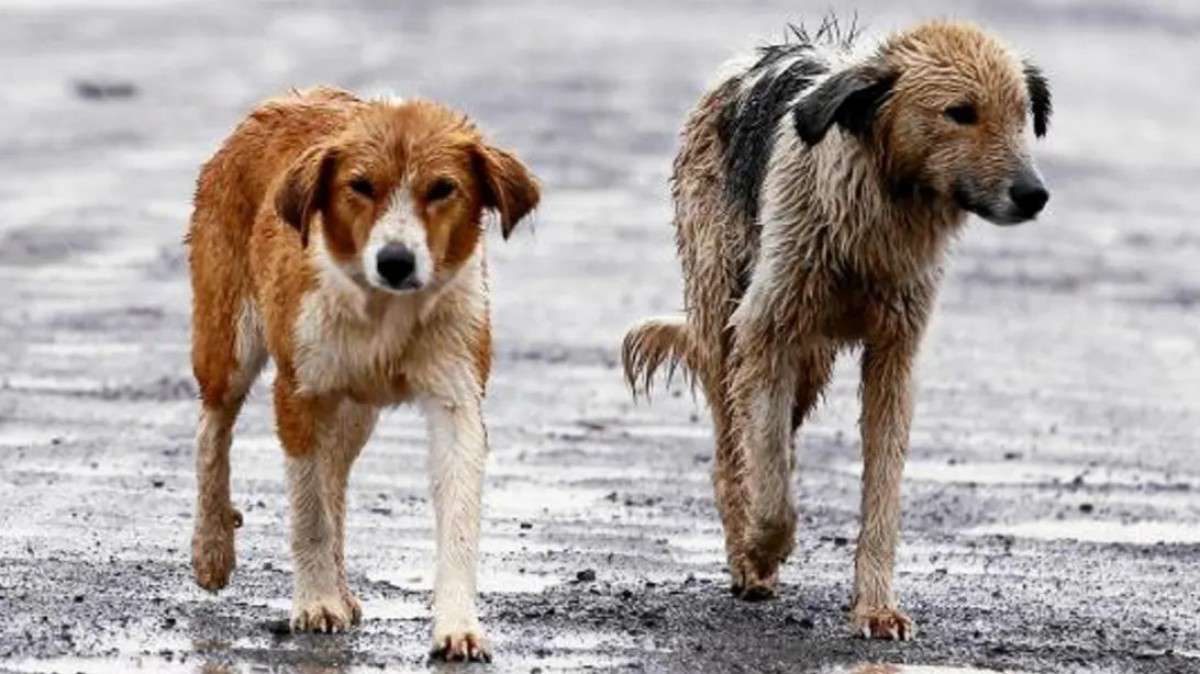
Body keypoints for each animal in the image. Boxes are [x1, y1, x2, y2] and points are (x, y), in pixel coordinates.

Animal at [188, 86, 540, 657]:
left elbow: (457, 518)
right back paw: (212, 547)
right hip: (229, 344)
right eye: (360, 186)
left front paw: (458, 626)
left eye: (443, 189)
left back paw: (341, 587)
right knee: (212, 431)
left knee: (334, 478)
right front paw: (315, 603)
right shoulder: (300, 392)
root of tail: (279, 101)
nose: (395, 261)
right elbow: (308, 512)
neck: (384, 312)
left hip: (355, 410)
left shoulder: (457, 397)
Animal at [624, 20, 1056, 638]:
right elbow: (771, 488)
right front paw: (761, 547)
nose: (1034, 194)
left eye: (1022, 115)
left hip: (810, 362)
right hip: (726, 322)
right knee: (732, 452)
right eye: (961, 112)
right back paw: (745, 558)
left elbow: (881, 493)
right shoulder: (764, 331)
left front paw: (875, 607)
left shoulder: (894, 356)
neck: (878, 214)